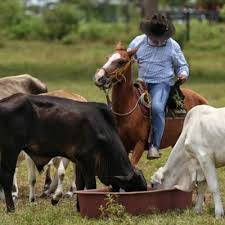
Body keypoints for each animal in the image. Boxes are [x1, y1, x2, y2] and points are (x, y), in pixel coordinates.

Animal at [0, 92, 147, 212]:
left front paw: (78, 207)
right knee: (7, 177)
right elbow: (91, 185)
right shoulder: (87, 160)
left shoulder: (79, 161)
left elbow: (80, 185)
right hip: (10, 150)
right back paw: (11, 208)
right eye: (134, 189)